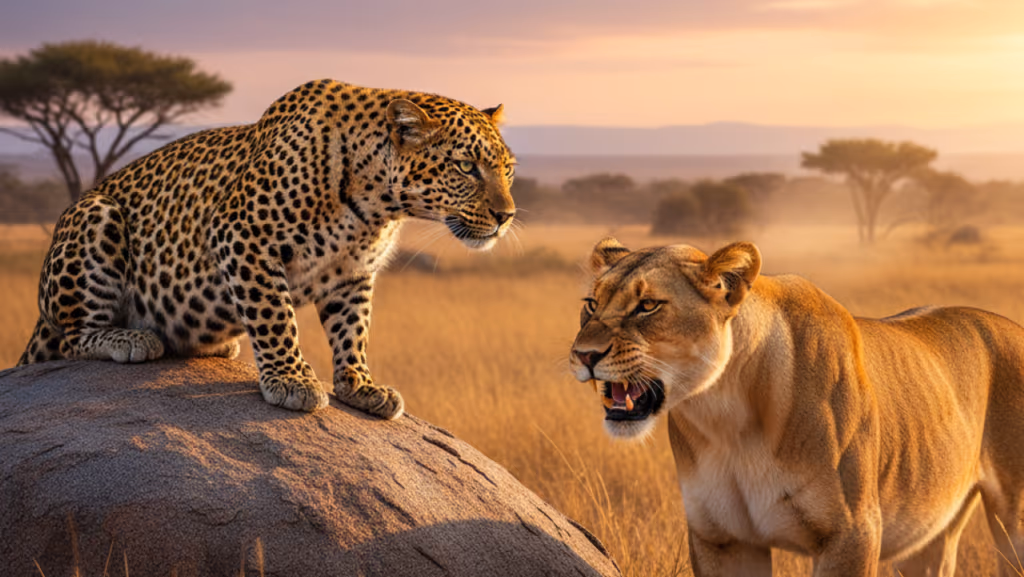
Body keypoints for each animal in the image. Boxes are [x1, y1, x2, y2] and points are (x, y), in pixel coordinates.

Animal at [17, 79, 517, 420]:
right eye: (466, 167)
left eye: (508, 169)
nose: (506, 215)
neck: (378, 206)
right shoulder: (242, 236)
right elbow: (275, 316)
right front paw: (292, 379)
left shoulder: (353, 272)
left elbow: (354, 330)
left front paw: (360, 385)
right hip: (95, 217)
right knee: (73, 337)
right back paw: (131, 338)